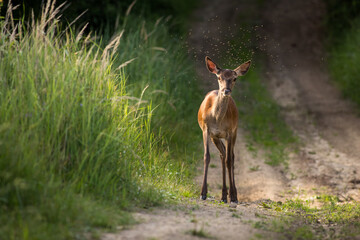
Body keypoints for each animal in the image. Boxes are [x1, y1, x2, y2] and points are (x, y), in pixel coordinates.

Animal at [197, 56, 250, 204]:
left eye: (234, 78)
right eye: (219, 77)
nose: (226, 91)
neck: (217, 119)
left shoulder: (230, 132)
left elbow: (229, 160)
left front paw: (233, 196)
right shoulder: (206, 130)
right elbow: (207, 157)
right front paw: (203, 193)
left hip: (234, 131)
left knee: (230, 156)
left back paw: (232, 195)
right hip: (215, 137)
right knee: (222, 154)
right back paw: (223, 195)